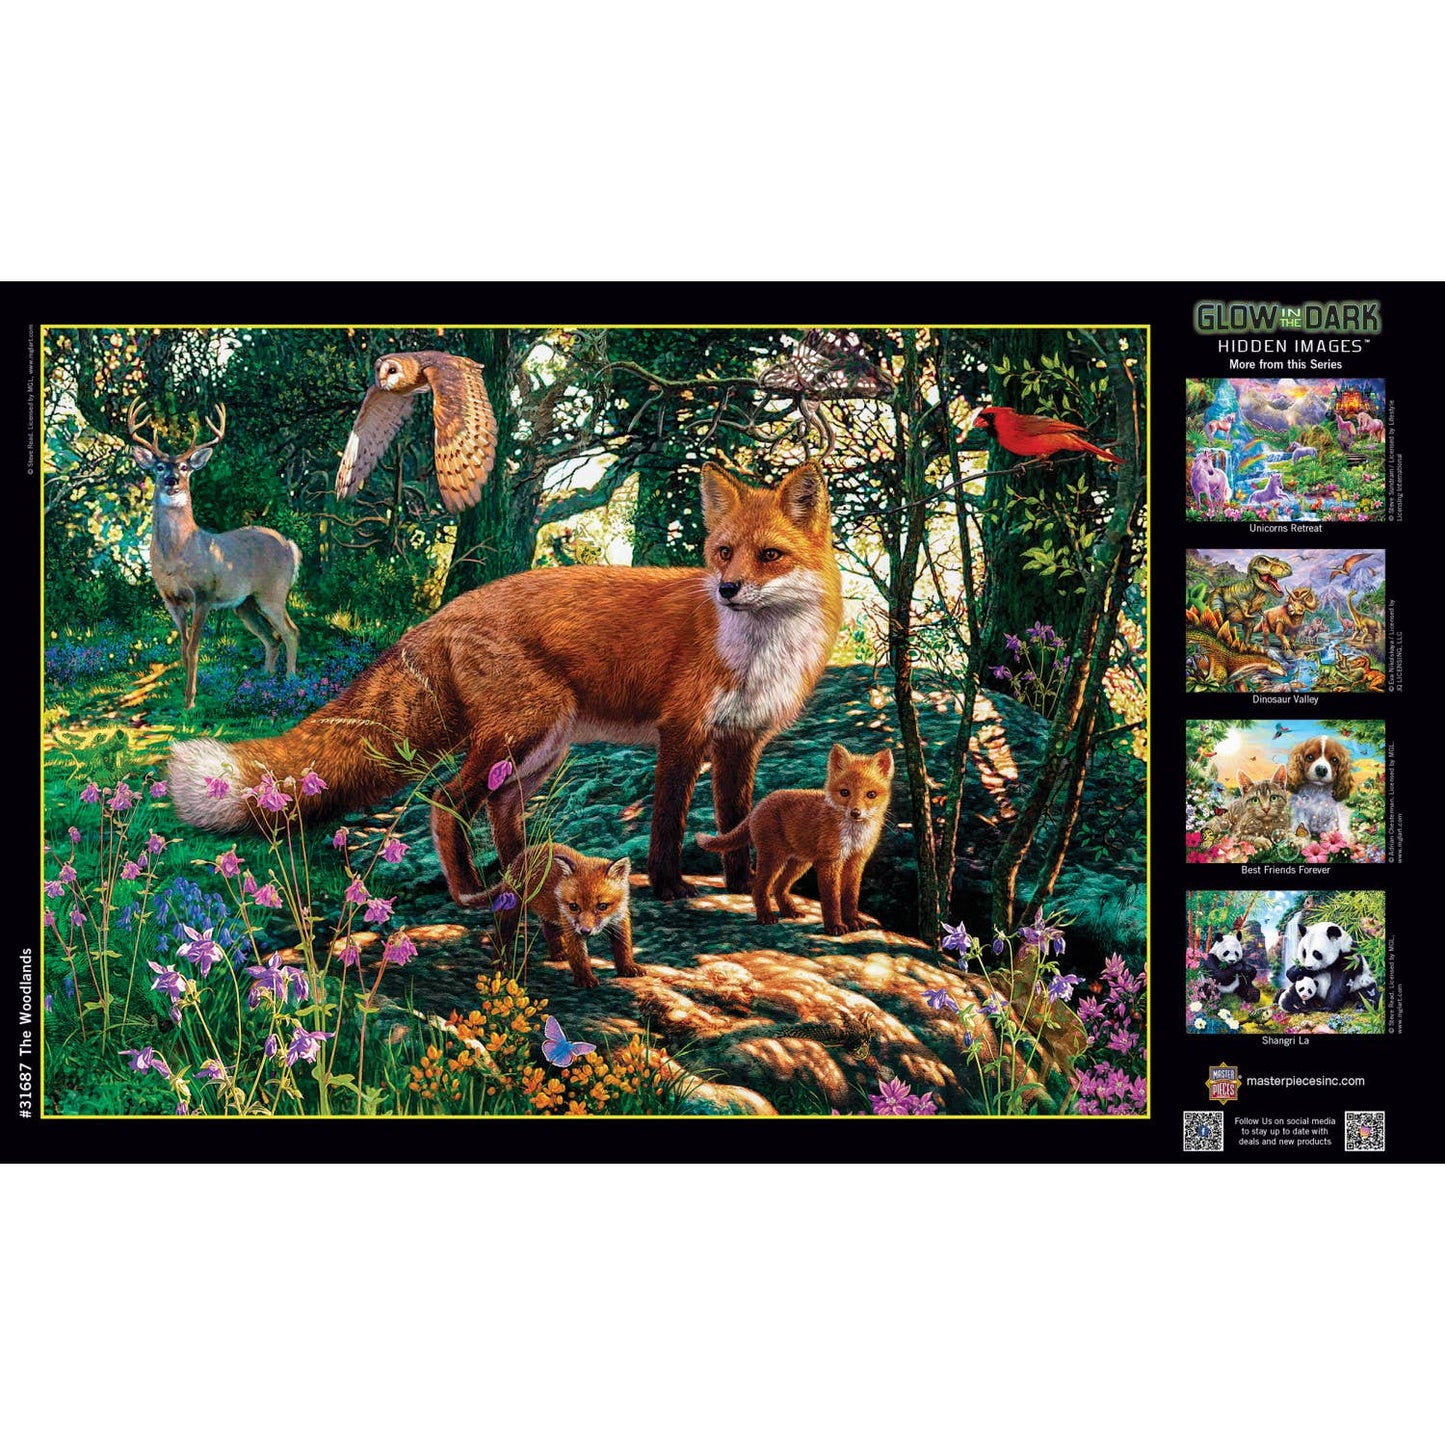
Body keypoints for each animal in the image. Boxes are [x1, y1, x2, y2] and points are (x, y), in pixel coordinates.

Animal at [128, 399, 302, 710]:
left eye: (185, 467)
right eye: (159, 466)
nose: (172, 480)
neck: (177, 556)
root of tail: (290, 545)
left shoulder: (204, 593)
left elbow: (195, 648)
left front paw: (190, 702)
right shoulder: (170, 599)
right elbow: (183, 648)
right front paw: (185, 698)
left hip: (273, 591)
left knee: (290, 631)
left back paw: (291, 681)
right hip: (245, 603)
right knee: (271, 638)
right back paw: (264, 682)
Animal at [167, 459, 842, 906]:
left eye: (770, 556)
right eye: (724, 552)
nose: (727, 590)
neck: (758, 651)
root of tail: (444, 612)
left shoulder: (740, 742)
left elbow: (736, 823)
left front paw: (743, 888)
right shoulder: (682, 731)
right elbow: (669, 822)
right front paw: (672, 886)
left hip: (543, 747)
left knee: (500, 806)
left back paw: (526, 881)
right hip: (525, 729)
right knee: (446, 801)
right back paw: (471, 892)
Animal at [472, 842, 639, 989]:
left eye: (602, 906)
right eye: (574, 906)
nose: (585, 931)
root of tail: (524, 854)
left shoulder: (620, 919)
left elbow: (623, 947)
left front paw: (628, 968)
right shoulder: (570, 925)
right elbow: (579, 957)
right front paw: (585, 979)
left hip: (550, 915)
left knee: (548, 929)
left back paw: (558, 953)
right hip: (512, 911)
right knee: (501, 935)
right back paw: (501, 964)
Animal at [696, 744, 893, 935]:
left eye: (871, 794)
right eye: (845, 792)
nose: (855, 812)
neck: (853, 837)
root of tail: (761, 804)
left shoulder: (856, 861)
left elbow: (851, 896)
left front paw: (853, 922)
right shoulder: (829, 862)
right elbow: (831, 899)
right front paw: (835, 926)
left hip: (799, 863)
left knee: (779, 887)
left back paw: (789, 912)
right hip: (774, 858)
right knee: (760, 888)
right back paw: (766, 916)